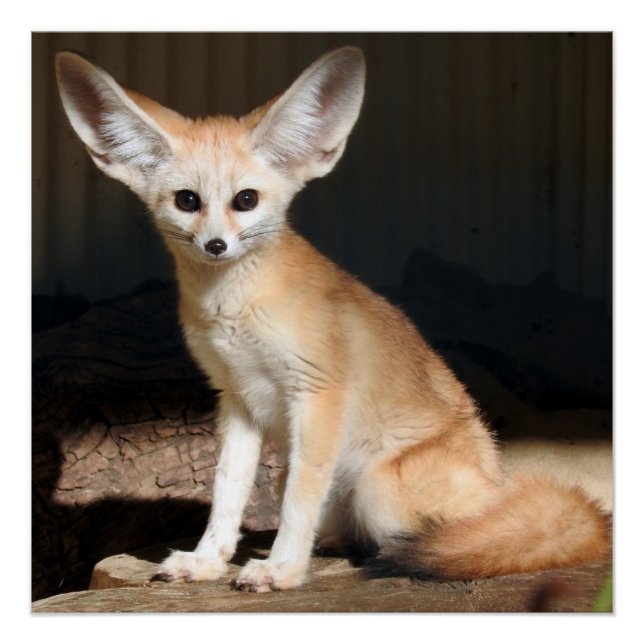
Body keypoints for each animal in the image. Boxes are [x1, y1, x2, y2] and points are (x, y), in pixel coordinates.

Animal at [55, 46, 610, 592]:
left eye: (245, 200)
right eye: (187, 201)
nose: (215, 245)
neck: (234, 310)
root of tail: (500, 485)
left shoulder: (319, 392)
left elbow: (299, 500)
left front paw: (282, 570)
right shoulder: (236, 399)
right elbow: (226, 494)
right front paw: (208, 560)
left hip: (376, 488)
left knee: (463, 538)